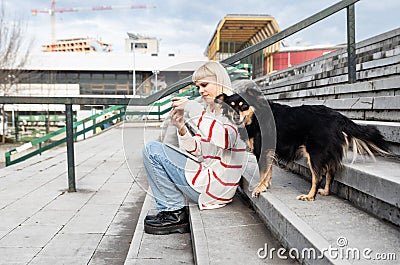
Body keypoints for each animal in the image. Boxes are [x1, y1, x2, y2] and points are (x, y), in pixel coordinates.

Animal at [216, 86, 390, 200]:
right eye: (230, 107)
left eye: (244, 106)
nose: (236, 117)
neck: (255, 117)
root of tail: (337, 116)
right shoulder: (269, 151)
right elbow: (268, 171)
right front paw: (266, 186)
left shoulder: (262, 151)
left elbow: (263, 172)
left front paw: (260, 188)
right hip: (326, 152)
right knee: (330, 173)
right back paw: (325, 192)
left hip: (314, 153)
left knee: (317, 176)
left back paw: (309, 196)